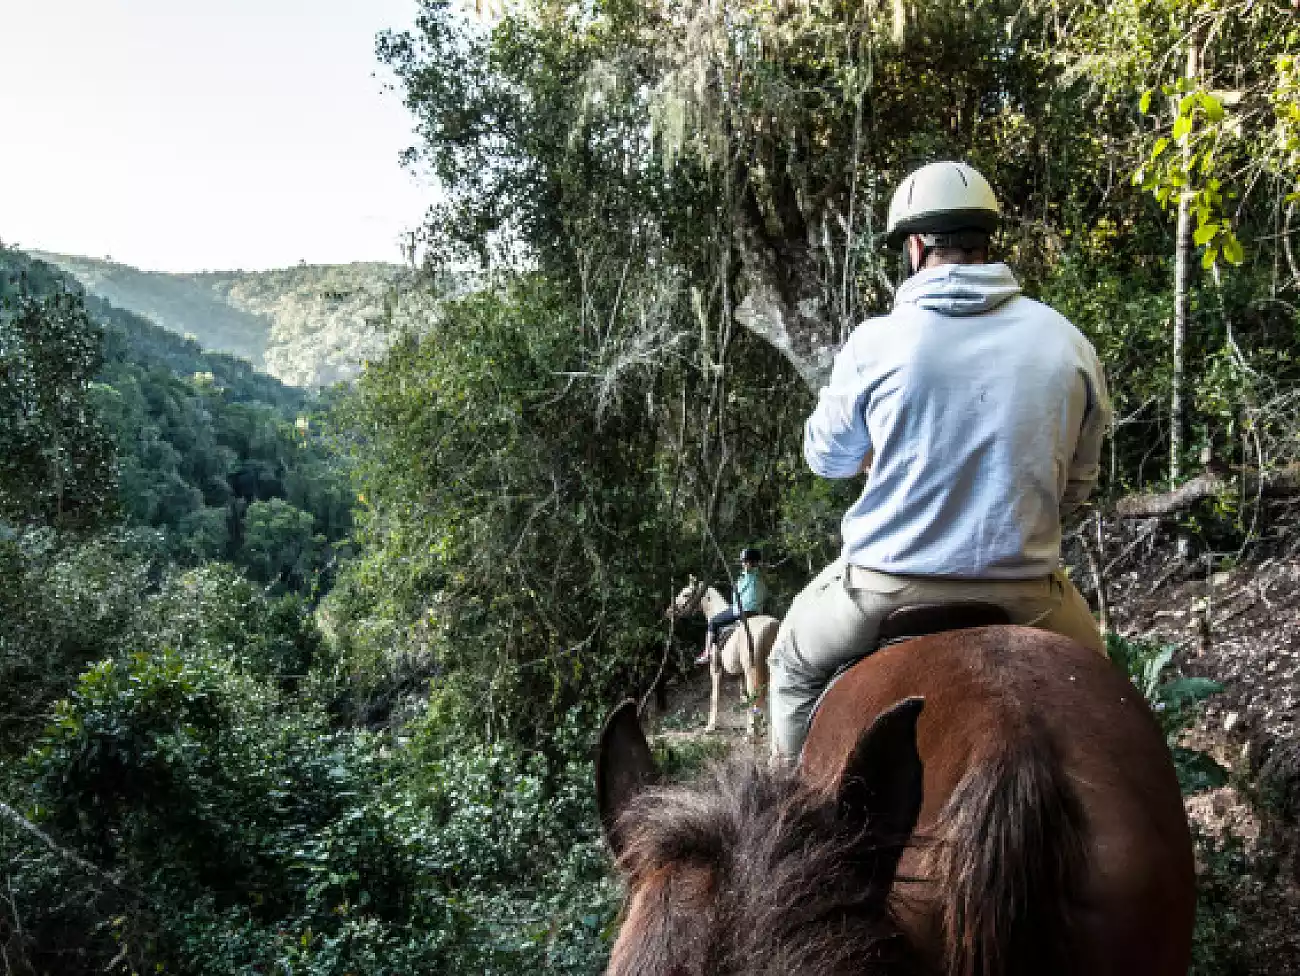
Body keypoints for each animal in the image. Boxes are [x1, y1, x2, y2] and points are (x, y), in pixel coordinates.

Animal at [667, 576, 781, 739]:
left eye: (686, 594)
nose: (669, 611)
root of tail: (771, 626)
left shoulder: (715, 668)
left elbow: (715, 697)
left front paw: (710, 726)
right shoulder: (740, 674)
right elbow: (743, 697)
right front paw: (752, 726)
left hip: (752, 671)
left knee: (757, 697)